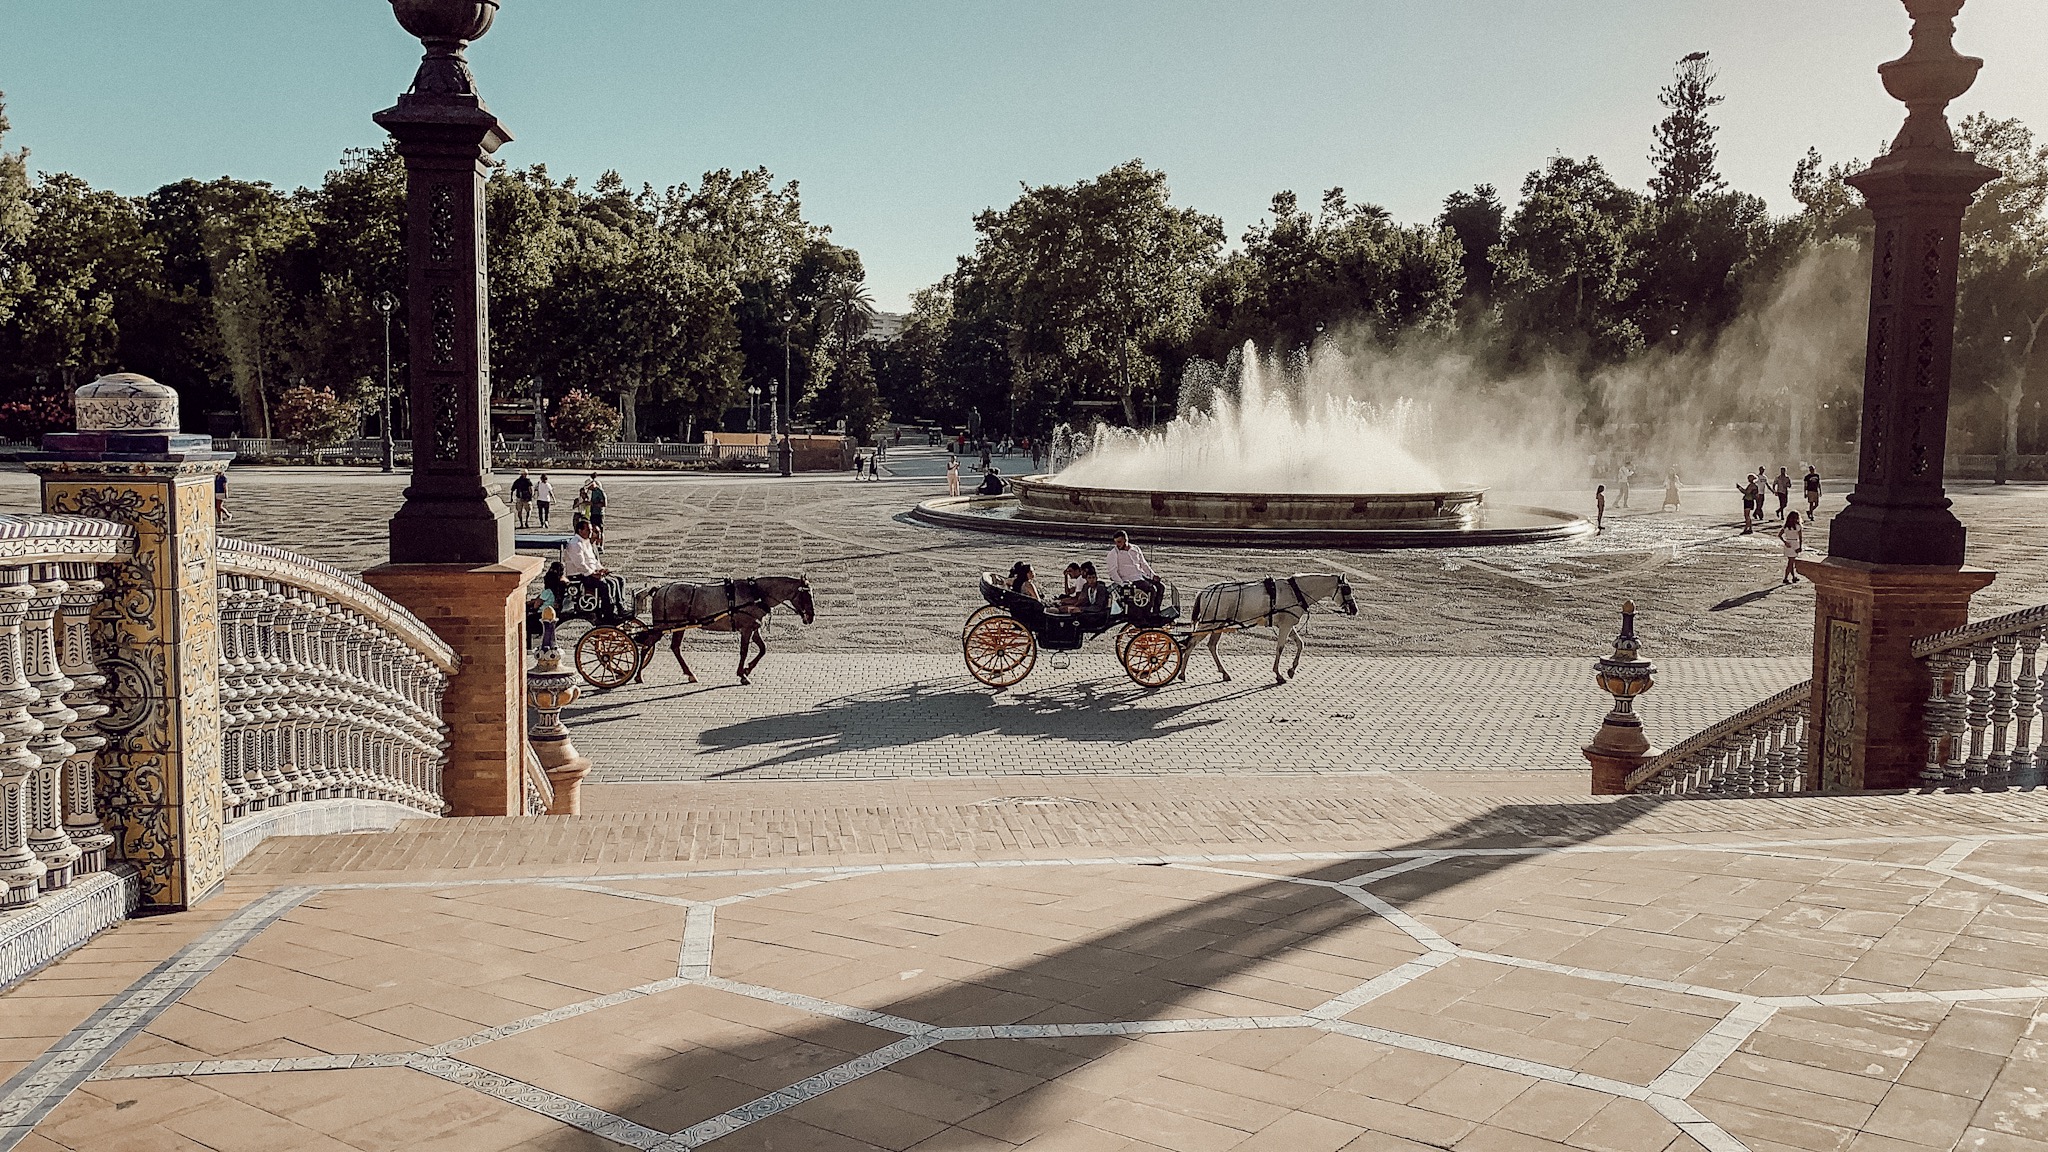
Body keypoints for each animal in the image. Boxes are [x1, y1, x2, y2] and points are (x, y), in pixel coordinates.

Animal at [630, 569, 815, 680]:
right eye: (806, 595)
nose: (811, 617)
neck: (756, 593)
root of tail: (660, 589)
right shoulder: (746, 629)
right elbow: (744, 651)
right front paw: (742, 674)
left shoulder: (753, 628)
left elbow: (763, 649)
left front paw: (747, 669)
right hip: (662, 627)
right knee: (647, 645)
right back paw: (638, 675)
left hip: (678, 627)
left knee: (674, 647)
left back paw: (689, 674)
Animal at [1196, 569, 1351, 676]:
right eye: (1346, 589)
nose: (1354, 609)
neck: (1296, 591)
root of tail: (1205, 591)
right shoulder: (1286, 626)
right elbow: (1280, 647)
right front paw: (1278, 673)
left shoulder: (1288, 625)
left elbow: (1300, 643)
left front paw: (1292, 669)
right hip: (1210, 623)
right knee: (1193, 641)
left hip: (1219, 624)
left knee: (1211, 645)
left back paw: (1223, 672)